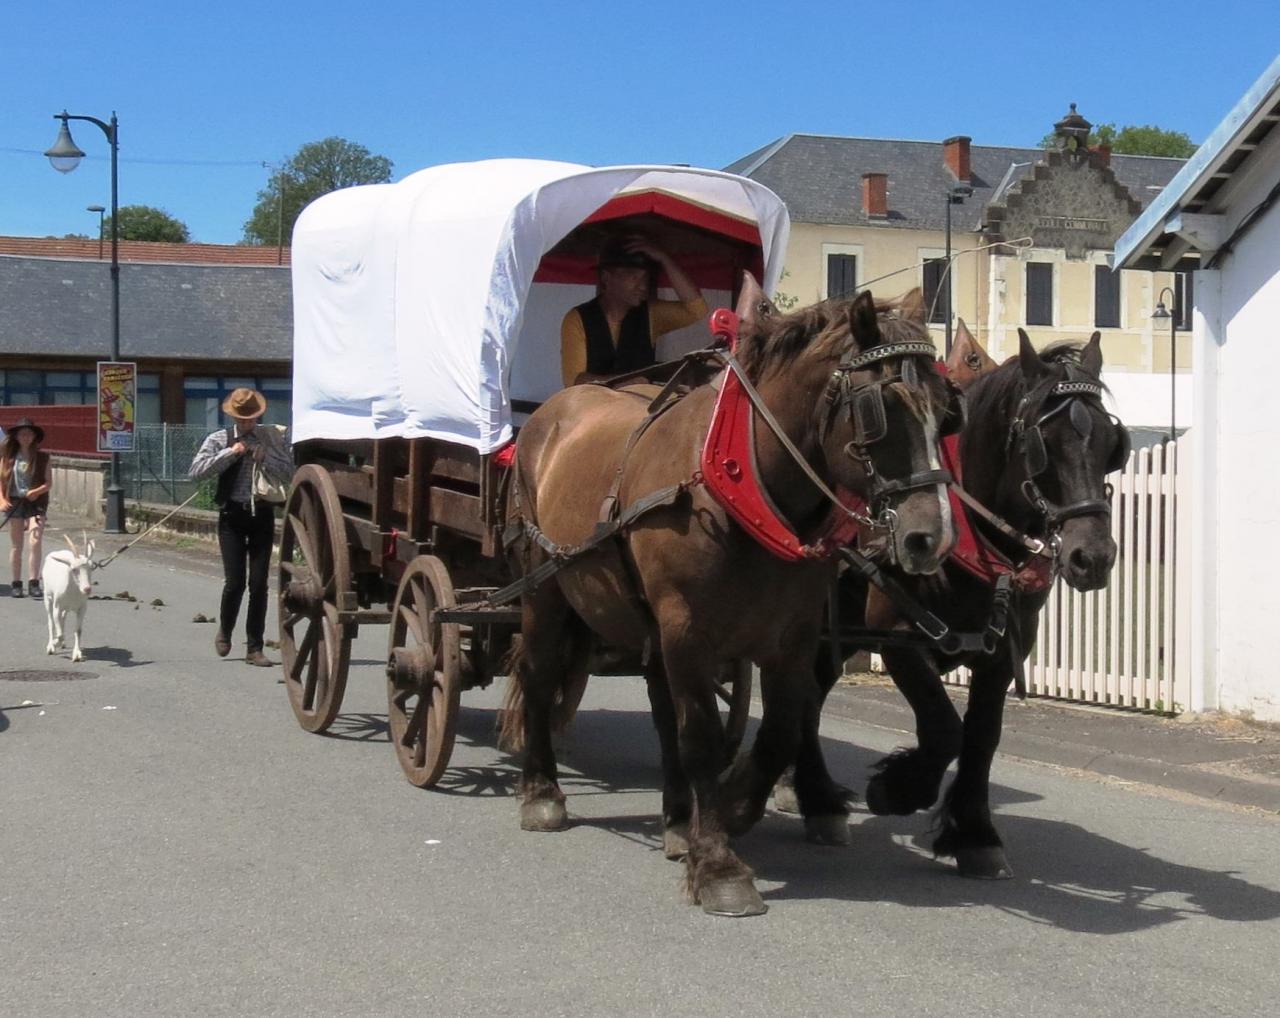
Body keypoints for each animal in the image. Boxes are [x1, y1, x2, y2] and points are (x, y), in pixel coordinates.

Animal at [43, 537, 97, 665]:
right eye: (74, 569)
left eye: (91, 567)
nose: (87, 589)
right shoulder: (57, 607)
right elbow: (59, 633)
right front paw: (54, 643)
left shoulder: (82, 608)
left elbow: (78, 630)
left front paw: (76, 654)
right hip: (47, 598)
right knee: (50, 621)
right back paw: (51, 645)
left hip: (66, 608)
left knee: (63, 619)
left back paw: (62, 644)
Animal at [499, 276, 962, 916]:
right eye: (879, 409)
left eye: (947, 410)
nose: (930, 537)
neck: (742, 490)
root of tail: (554, 409)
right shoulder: (687, 629)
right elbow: (700, 737)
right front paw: (718, 863)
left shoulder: (792, 636)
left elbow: (781, 729)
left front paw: (737, 802)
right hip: (545, 589)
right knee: (541, 676)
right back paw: (542, 791)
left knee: (659, 706)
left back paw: (676, 818)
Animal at [788, 330, 1131, 880]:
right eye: (1044, 443)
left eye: (1109, 443)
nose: (1092, 557)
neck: (972, 536)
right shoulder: (902, 636)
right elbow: (945, 729)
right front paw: (898, 788)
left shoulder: (1004, 651)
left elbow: (982, 735)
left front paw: (974, 833)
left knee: (809, 694)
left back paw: (808, 795)